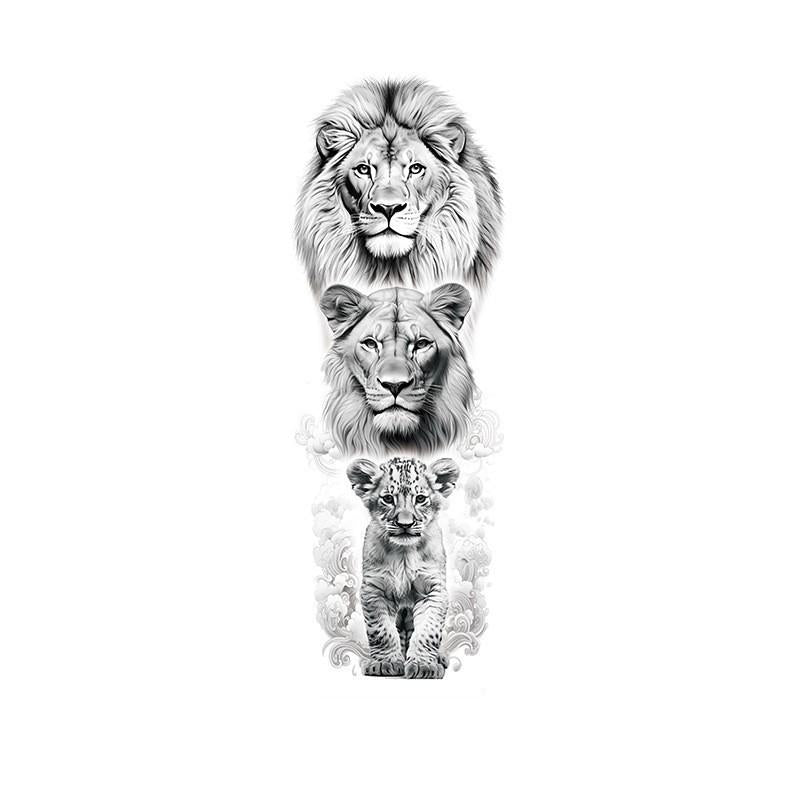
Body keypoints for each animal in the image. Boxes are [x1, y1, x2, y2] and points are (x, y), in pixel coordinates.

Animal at [347, 456, 459, 679]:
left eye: (421, 498)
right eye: (388, 499)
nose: (405, 524)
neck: (404, 554)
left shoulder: (433, 589)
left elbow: (428, 631)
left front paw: (424, 666)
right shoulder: (374, 589)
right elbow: (381, 631)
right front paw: (384, 663)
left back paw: (439, 658)